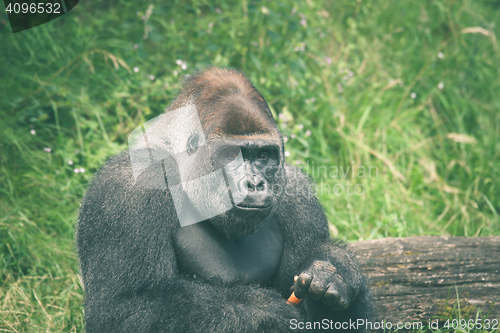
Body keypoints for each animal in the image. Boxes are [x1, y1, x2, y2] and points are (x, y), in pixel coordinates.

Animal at [76, 68, 370, 332]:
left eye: (264, 156)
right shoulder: (127, 189)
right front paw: (268, 314)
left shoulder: (300, 198)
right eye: (230, 155)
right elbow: (124, 309)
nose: (254, 183)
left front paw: (337, 274)